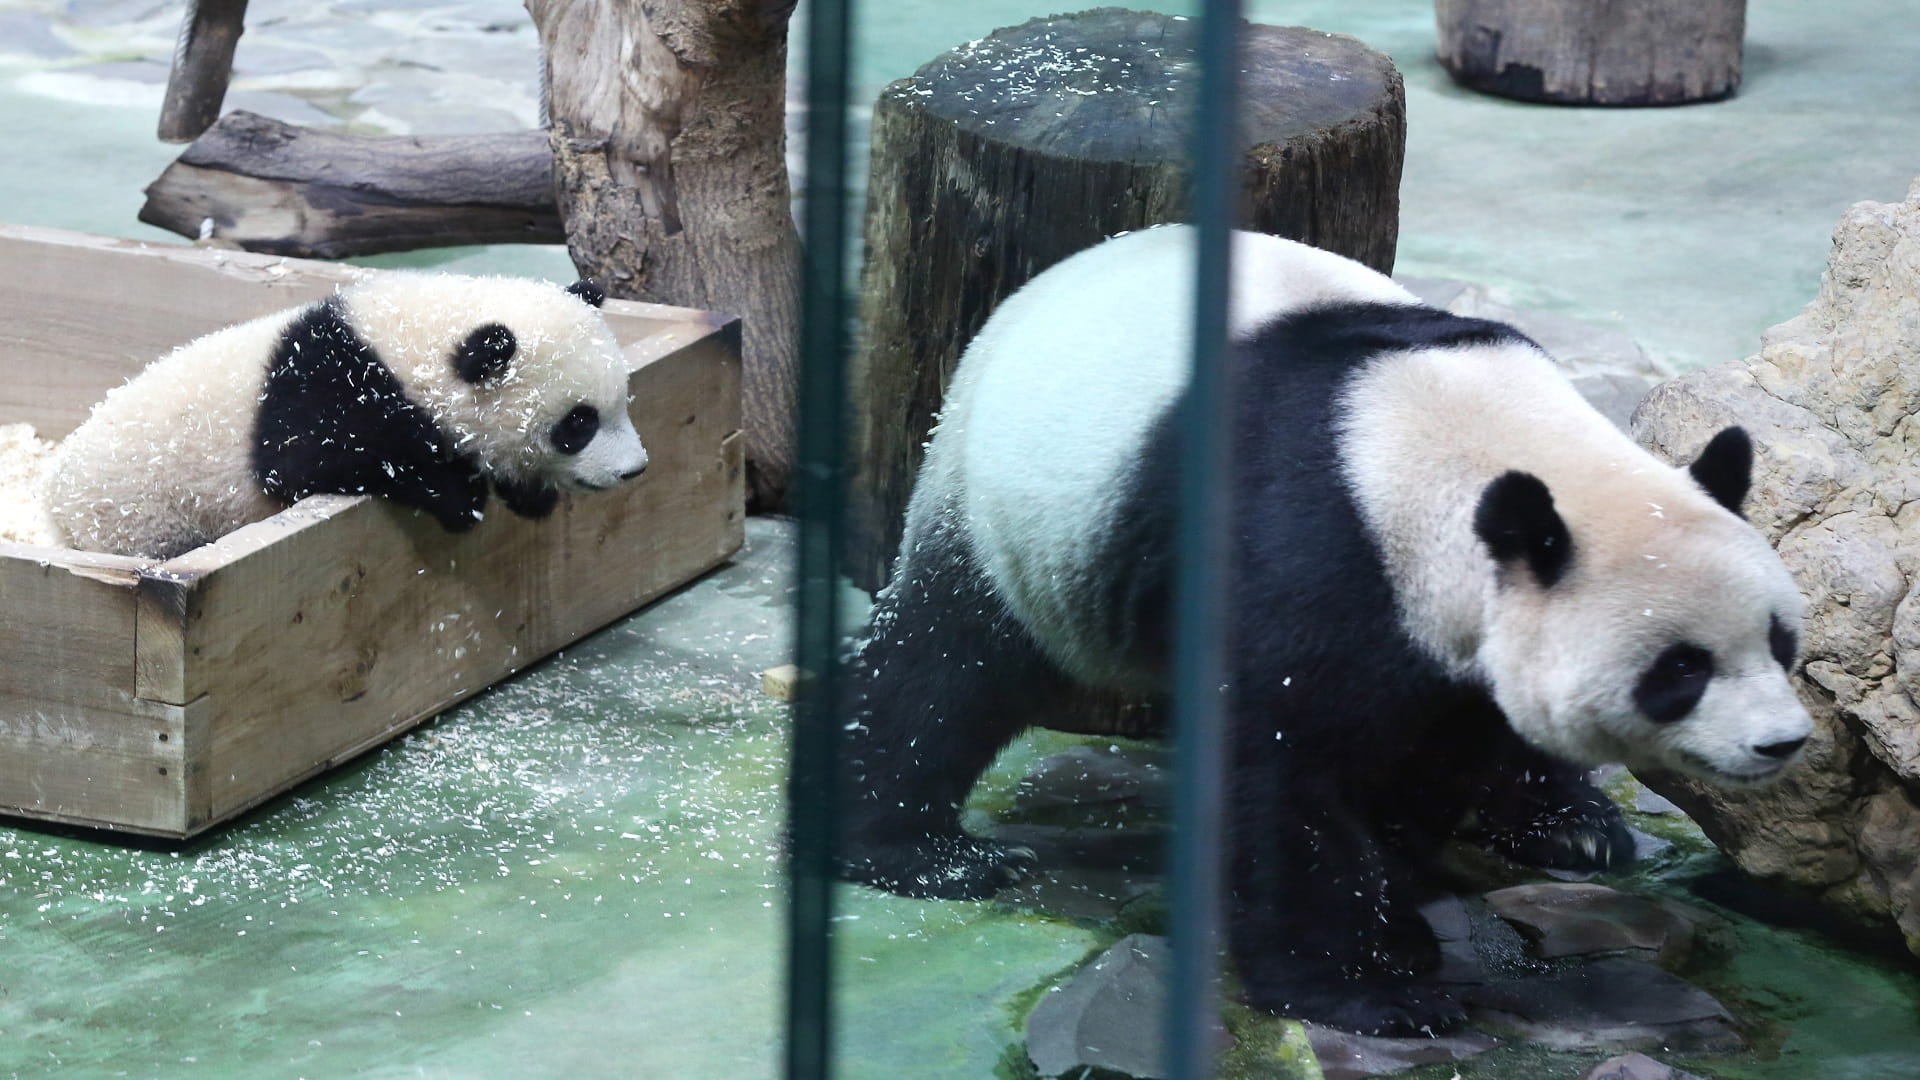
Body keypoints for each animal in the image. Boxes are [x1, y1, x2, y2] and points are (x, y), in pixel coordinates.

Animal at [46, 273, 648, 559]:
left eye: (622, 399)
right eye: (578, 423)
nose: (635, 470)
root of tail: (55, 507)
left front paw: (526, 493)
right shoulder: (328, 389)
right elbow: (309, 462)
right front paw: (460, 496)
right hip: (142, 517)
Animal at [837, 225, 1813, 1036]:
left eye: (1780, 642)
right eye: (1679, 669)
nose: (1782, 743)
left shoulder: (1442, 650)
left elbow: (1434, 759)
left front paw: (1402, 917)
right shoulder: (1307, 549)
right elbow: (1282, 779)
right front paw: (1370, 990)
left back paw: (1574, 828)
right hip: (1013, 511)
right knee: (944, 671)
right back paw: (921, 855)